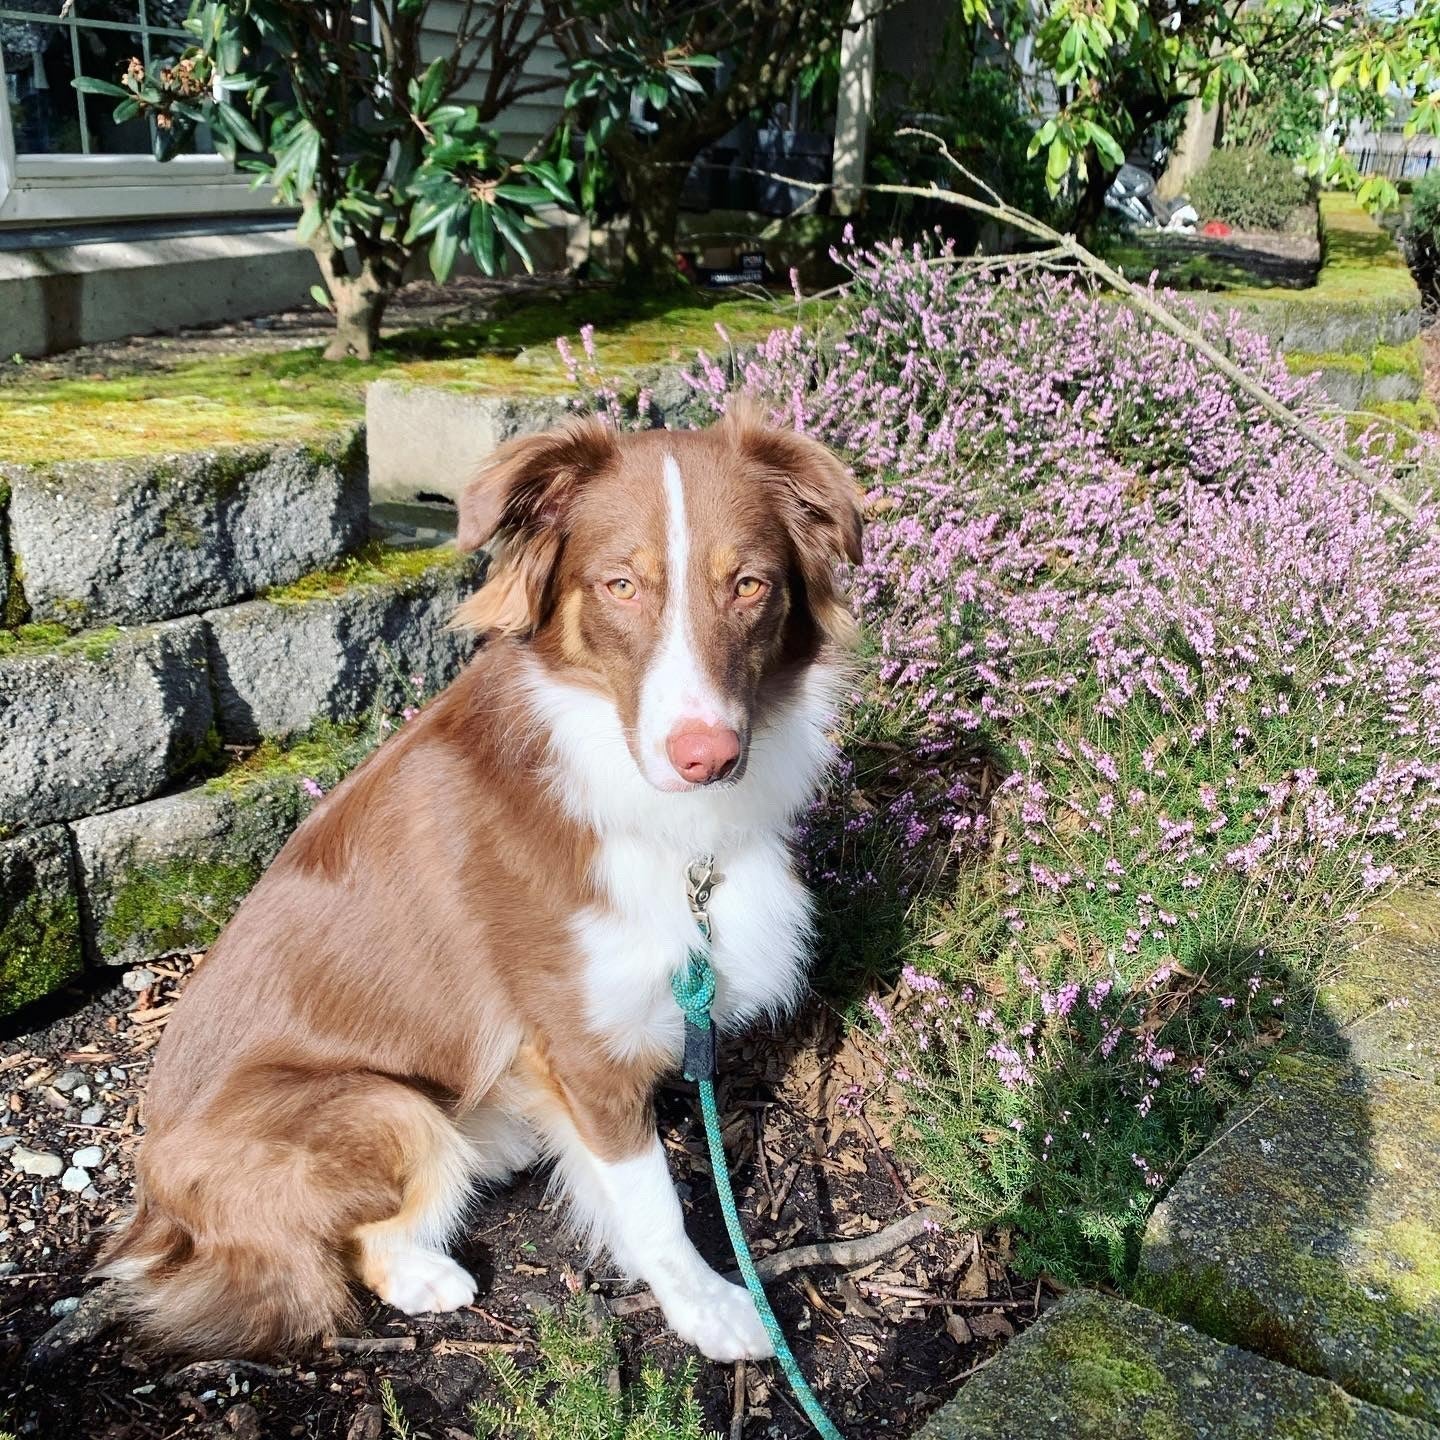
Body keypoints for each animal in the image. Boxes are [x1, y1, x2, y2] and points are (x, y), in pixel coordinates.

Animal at [101, 403, 864, 1359]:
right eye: (621, 586)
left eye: (751, 585)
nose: (708, 757)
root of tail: (150, 1204)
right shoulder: (580, 1044)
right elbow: (651, 1196)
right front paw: (707, 1305)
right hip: (390, 1105)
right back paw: (426, 1275)